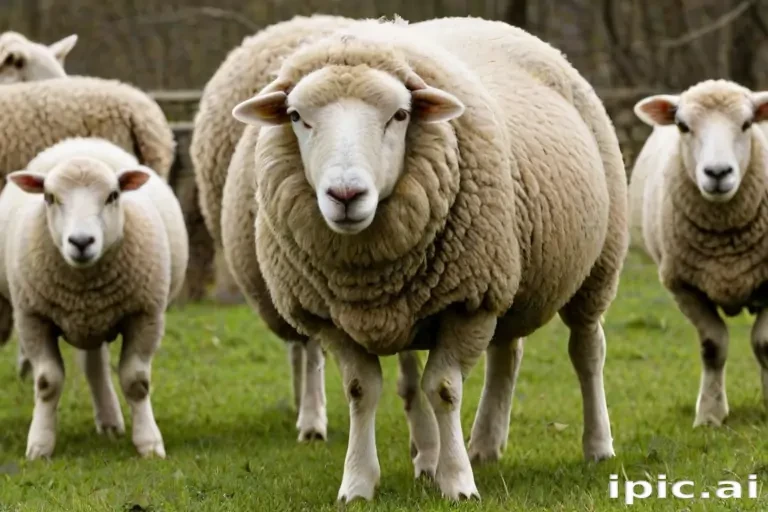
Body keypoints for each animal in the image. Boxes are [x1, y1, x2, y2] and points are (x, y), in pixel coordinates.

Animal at [0, 136, 187, 460]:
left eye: (113, 196)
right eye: (49, 197)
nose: (81, 242)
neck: (84, 287)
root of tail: (81, 141)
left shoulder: (145, 315)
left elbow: (137, 381)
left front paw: (149, 443)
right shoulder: (33, 317)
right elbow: (47, 382)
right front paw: (40, 445)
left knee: (94, 366)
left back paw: (110, 423)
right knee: (94, 365)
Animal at [230, 15, 627, 502]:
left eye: (400, 115)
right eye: (295, 117)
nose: (345, 195)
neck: (364, 270)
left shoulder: (468, 302)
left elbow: (442, 390)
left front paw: (457, 482)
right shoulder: (331, 318)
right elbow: (362, 390)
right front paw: (359, 482)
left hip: (596, 265)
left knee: (587, 350)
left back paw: (597, 445)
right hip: (506, 276)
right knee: (507, 354)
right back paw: (485, 445)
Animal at [630, 79, 768, 428]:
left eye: (747, 123)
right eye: (682, 126)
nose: (718, 173)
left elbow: (764, 344)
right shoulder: (683, 286)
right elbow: (713, 346)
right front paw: (709, 414)